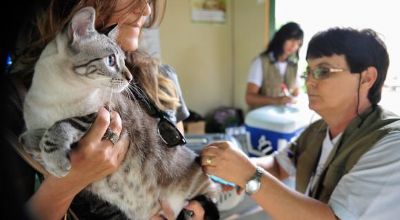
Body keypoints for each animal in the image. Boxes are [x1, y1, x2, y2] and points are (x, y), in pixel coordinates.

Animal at [20, 6, 217, 220]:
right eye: (111, 60)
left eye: (123, 60)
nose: (130, 78)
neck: (58, 94)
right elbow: (27, 139)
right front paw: (40, 146)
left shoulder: (105, 114)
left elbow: (62, 124)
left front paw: (56, 160)